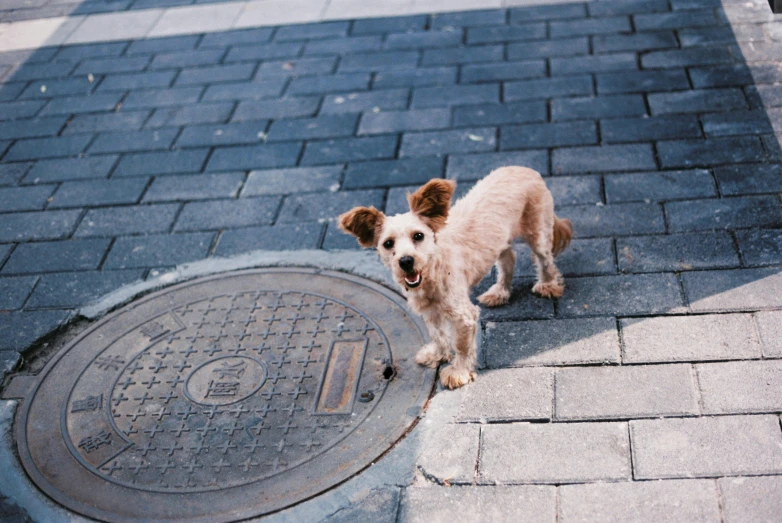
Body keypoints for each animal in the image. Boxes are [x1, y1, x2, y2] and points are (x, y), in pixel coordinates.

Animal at [340, 168, 572, 388]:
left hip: (537, 231)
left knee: (545, 259)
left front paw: (458, 372)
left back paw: (548, 285)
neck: (432, 271)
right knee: (508, 259)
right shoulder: (430, 311)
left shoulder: (463, 315)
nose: (406, 261)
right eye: (388, 244)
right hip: (500, 241)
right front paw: (438, 354)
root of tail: (526, 169)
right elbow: (437, 334)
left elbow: (461, 346)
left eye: (418, 236)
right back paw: (500, 292)